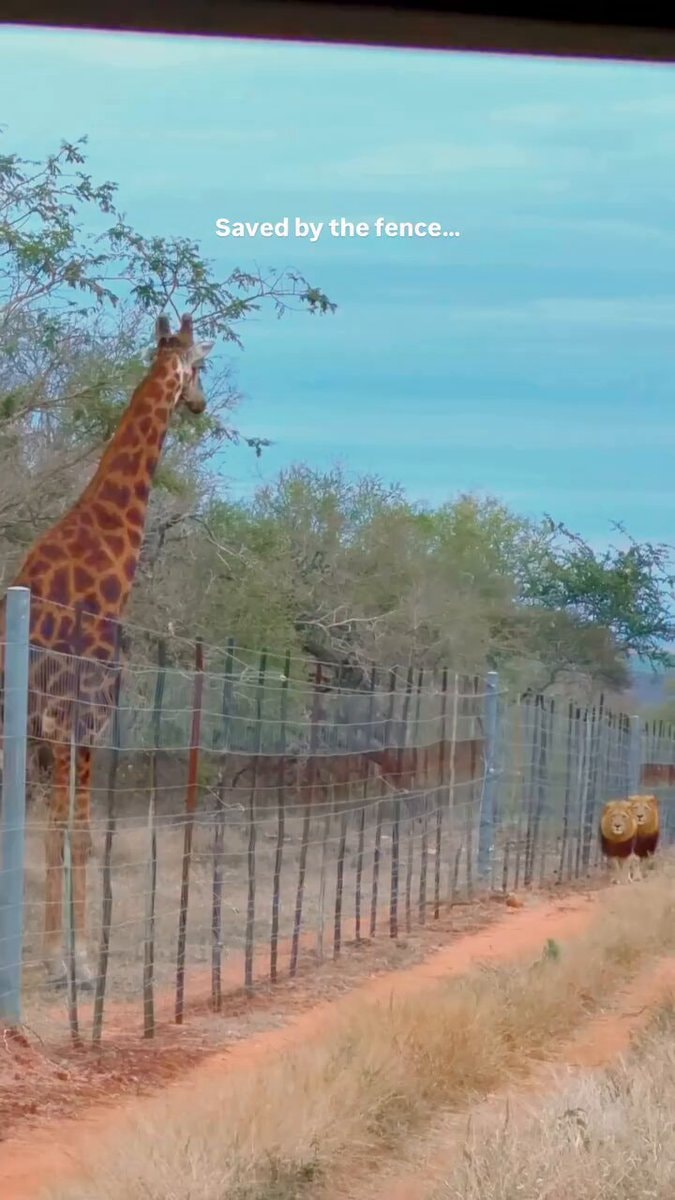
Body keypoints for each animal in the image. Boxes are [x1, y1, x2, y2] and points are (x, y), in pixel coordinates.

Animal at [0, 313, 214, 989]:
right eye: (200, 367)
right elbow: (78, 833)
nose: (199, 403)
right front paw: (74, 963)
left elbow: (61, 832)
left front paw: (61, 957)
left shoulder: (54, 732)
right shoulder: (79, 718)